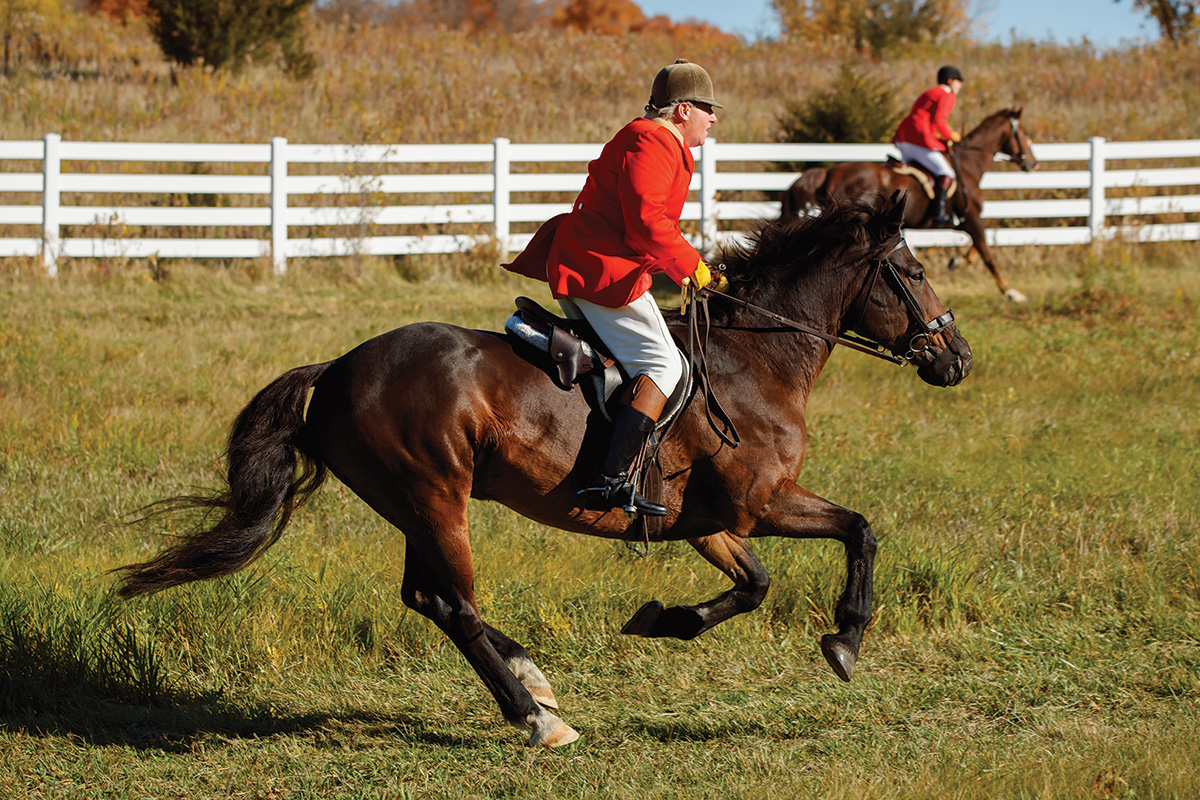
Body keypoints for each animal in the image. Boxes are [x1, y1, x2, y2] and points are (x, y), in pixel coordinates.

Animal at [112, 191, 974, 753]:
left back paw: (535, 679)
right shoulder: (761, 502)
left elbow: (756, 584)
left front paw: (667, 620)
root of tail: (338, 368)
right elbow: (860, 529)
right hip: (436, 496)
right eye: (913, 270)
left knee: (427, 598)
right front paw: (847, 638)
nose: (959, 359)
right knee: (456, 606)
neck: (755, 360)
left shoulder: (708, 522)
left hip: (419, 503)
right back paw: (536, 716)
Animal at [782, 107, 1036, 302]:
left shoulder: (964, 222)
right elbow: (987, 253)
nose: (1033, 163)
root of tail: (829, 172)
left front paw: (956, 261)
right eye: (1024, 132)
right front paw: (1011, 292)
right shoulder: (971, 218)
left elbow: (978, 248)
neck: (968, 166)